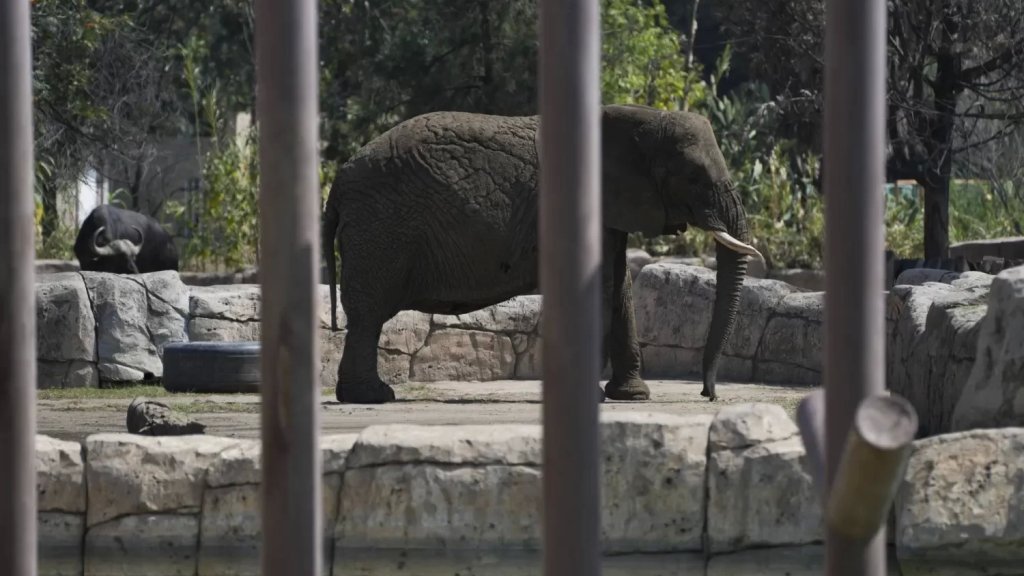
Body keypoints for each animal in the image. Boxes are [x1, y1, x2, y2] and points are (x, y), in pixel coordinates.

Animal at [321, 106, 761, 403]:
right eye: (693, 178)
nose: (708, 395)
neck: (639, 118)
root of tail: (338, 182)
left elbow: (620, 287)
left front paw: (632, 396)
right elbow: (603, 290)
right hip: (383, 226)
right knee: (369, 313)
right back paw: (373, 397)